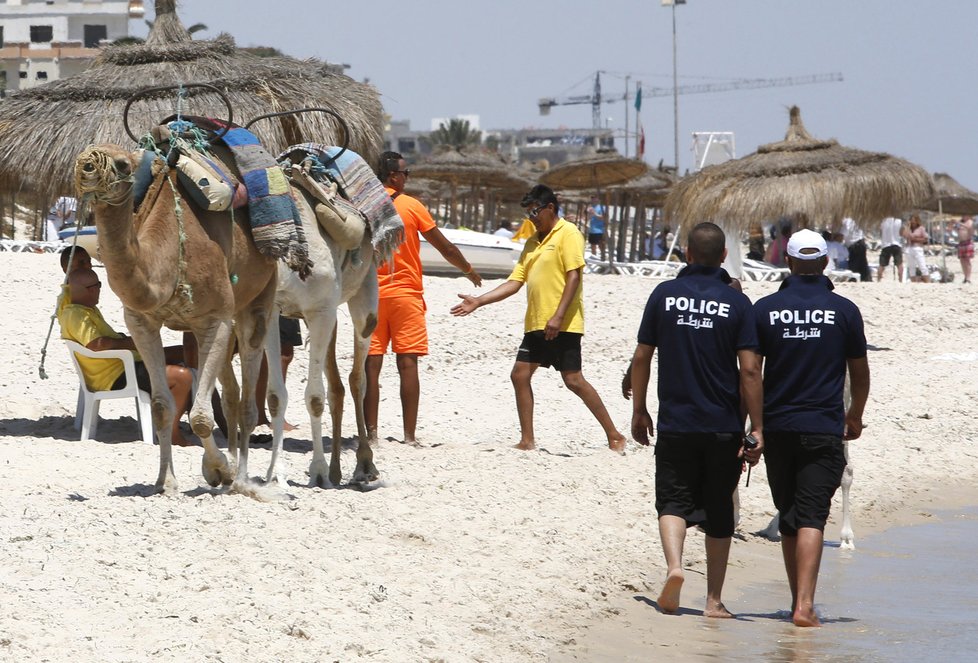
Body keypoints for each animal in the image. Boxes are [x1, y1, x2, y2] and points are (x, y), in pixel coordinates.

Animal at [75, 147, 282, 498]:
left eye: (122, 164)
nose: (86, 166)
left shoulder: (216, 318)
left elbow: (199, 416)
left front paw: (219, 471)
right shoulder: (141, 321)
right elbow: (161, 407)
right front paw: (166, 482)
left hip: (259, 297)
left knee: (248, 397)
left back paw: (241, 479)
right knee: (231, 396)